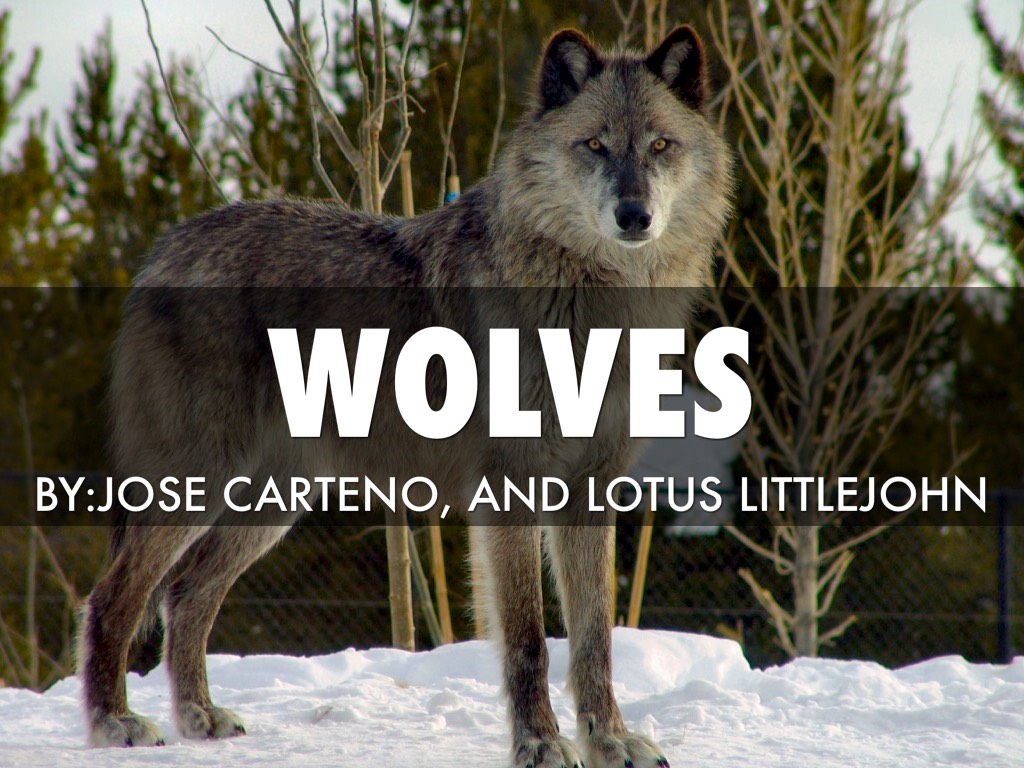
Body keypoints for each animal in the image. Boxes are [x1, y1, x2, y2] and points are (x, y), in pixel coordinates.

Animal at [78, 25, 731, 768]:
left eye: (661, 146)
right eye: (594, 144)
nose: (634, 215)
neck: (596, 299)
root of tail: (165, 247)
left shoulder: (590, 484)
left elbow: (595, 638)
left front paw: (611, 742)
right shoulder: (510, 485)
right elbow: (529, 641)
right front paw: (539, 744)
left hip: (272, 502)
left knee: (187, 596)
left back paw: (198, 717)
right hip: (201, 484)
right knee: (113, 598)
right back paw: (113, 723)